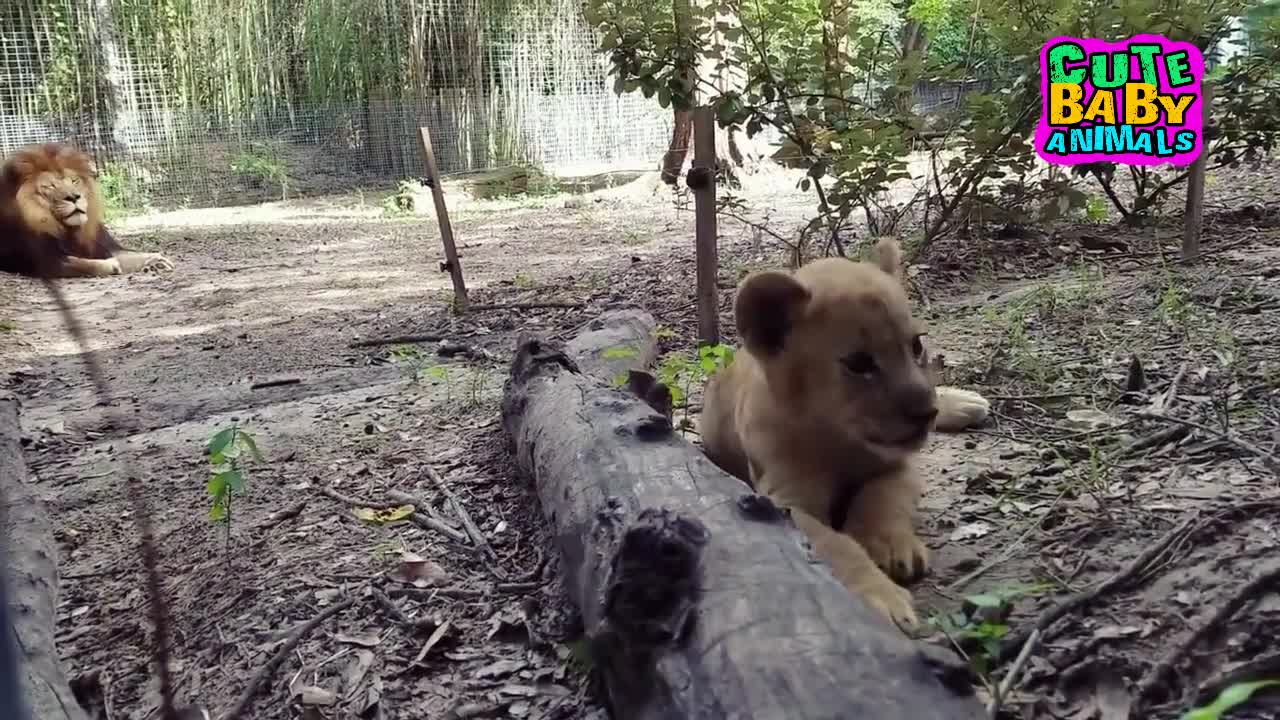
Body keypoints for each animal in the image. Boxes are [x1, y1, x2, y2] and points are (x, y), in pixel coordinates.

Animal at [0, 141, 174, 275]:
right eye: (50, 186)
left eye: (74, 181)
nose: (74, 197)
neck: (69, 230)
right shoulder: (46, 261)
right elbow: (80, 263)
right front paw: (111, 265)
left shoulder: (102, 244)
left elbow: (129, 255)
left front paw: (156, 260)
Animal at [701, 237, 988, 627]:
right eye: (858, 363)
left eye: (916, 345)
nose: (925, 413)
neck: (840, 441)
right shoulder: (782, 502)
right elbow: (835, 543)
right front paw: (883, 597)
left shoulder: (899, 466)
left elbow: (882, 498)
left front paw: (892, 547)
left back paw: (967, 403)